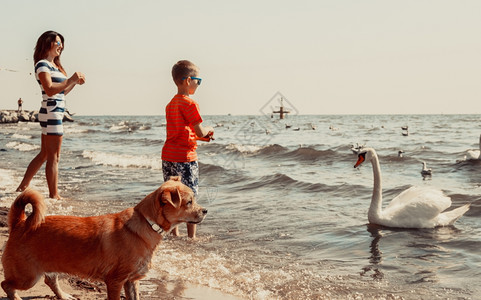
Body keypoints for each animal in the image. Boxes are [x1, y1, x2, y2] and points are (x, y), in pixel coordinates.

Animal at [0, 177, 206, 298]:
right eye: (189, 202)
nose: (205, 211)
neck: (147, 222)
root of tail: (20, 223)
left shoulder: (131, 281)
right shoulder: (115, 281)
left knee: (50, 280)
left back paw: (63, 295)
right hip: (27, 277)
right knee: (6, 284)